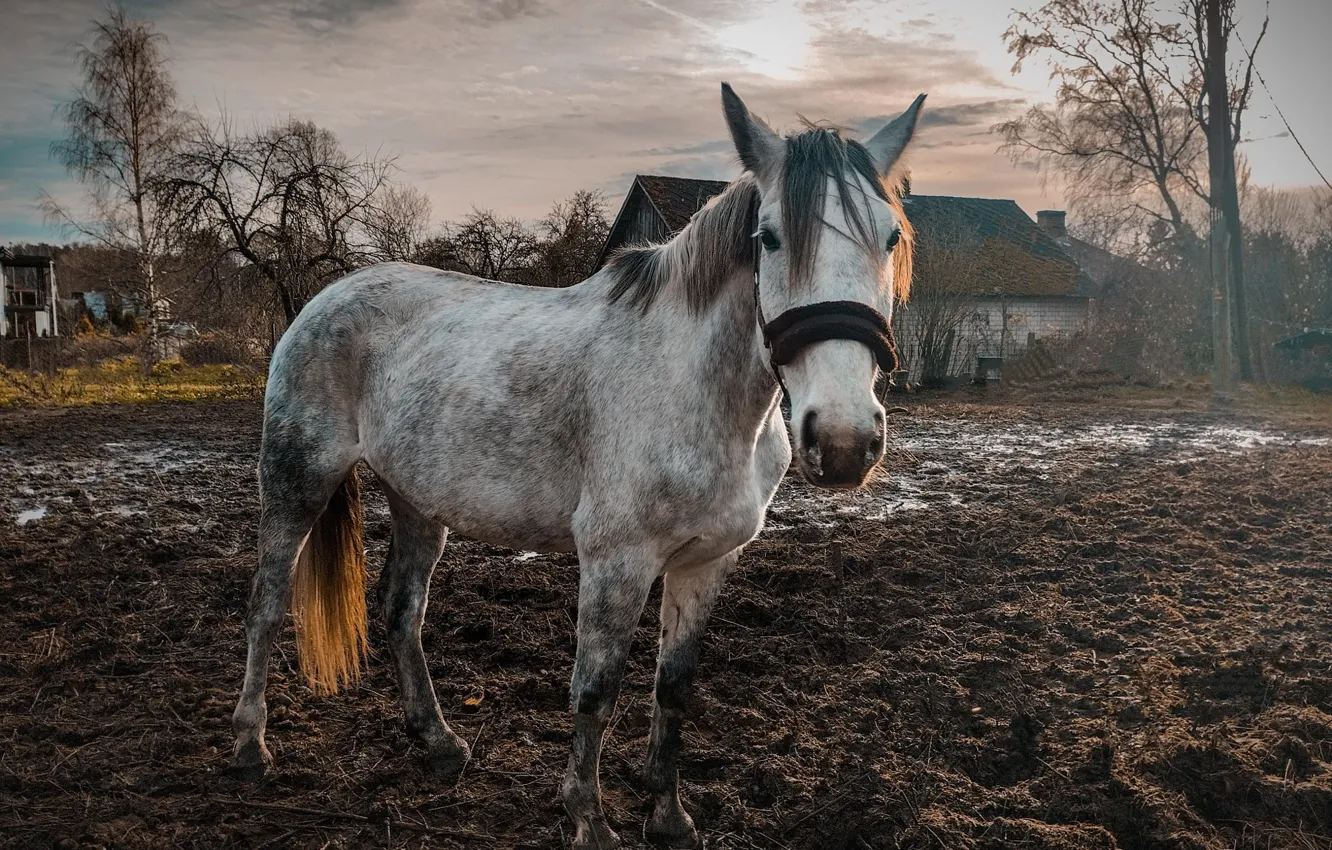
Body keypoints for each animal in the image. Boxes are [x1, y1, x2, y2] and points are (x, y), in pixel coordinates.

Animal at [230, 83, 924, 849]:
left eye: (890, 238)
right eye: (769, 237)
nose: (843, 440)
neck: (691, 389)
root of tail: (322, 300)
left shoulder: (706, 562)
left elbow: (672, 689)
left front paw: (668, 817)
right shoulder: (617, 561)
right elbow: (596, 690)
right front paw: (589, 820)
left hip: (419, 501)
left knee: (402, 611)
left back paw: (438, 742)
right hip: (297, 482)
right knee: (266, 604)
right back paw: (250, 747)